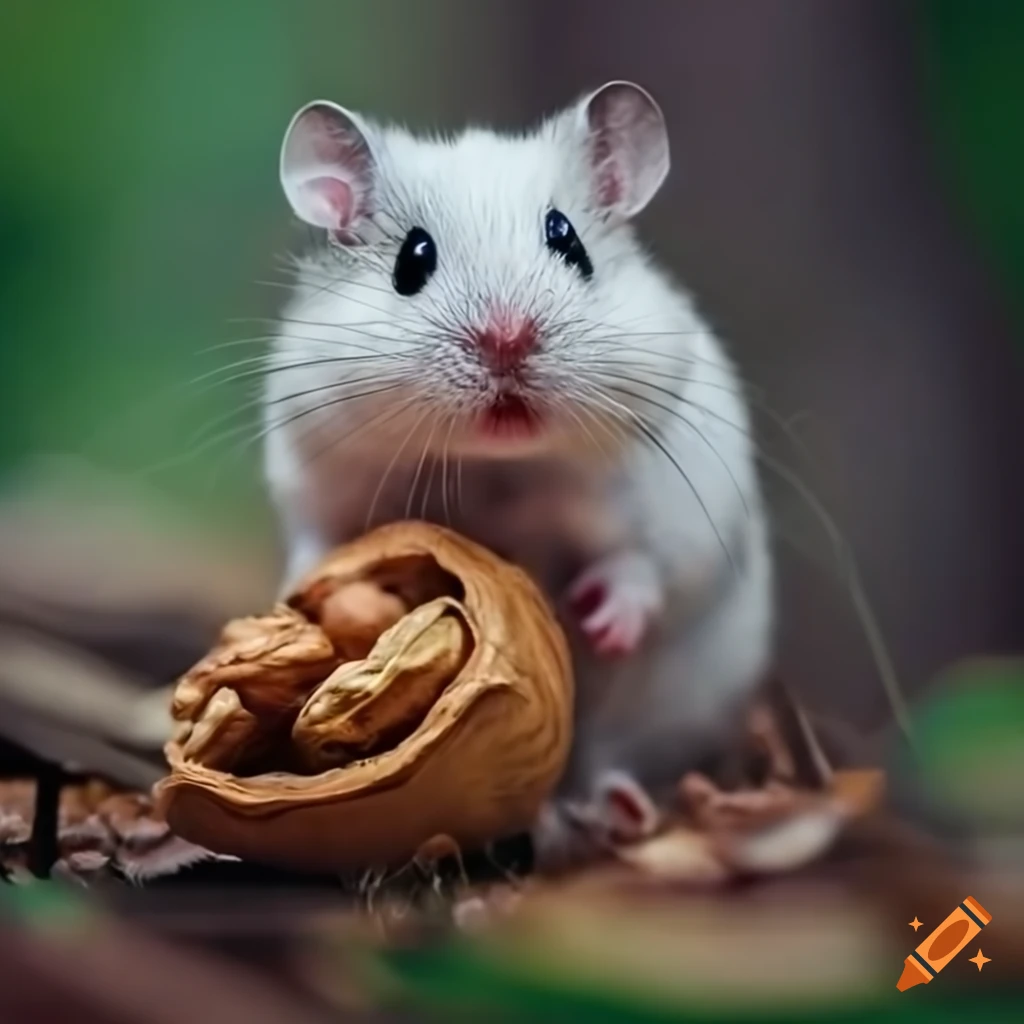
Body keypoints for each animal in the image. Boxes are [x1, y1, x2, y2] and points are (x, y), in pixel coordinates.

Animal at [263, 82, 774, 867]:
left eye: (570, 242)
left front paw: (601, 624)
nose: (507, 340)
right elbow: (319, 547)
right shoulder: (312, 469)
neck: (496, 466)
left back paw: (611, 809)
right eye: (412, 258)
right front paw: (300, 608)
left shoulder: (677, 502)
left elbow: (642, 565)